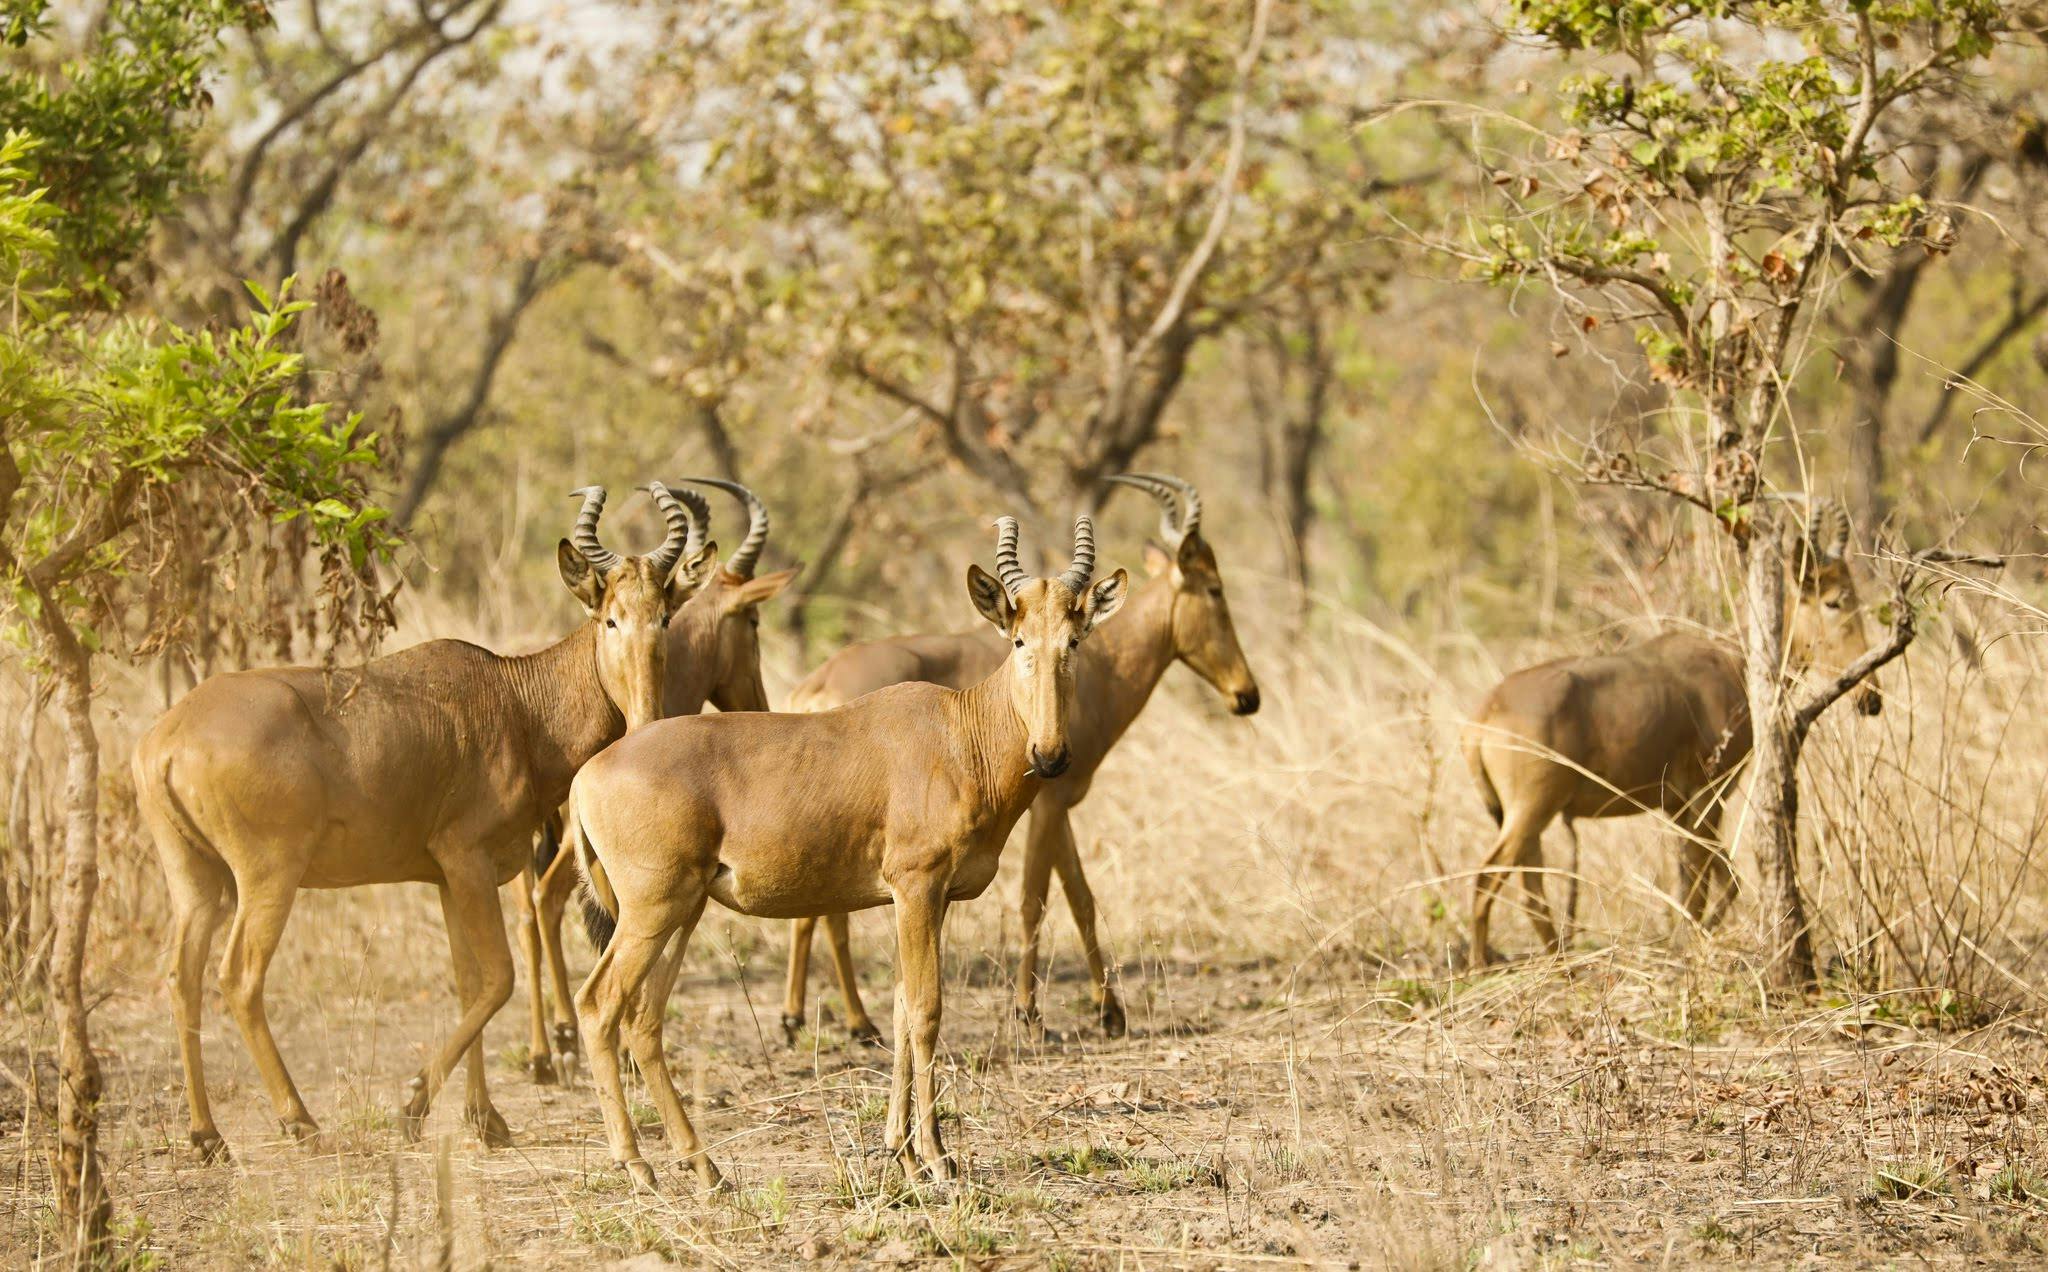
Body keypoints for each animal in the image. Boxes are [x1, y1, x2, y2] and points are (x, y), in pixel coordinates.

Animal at [134, 481, 712, 1155]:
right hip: (266, 877)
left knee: (181, 977)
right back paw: (300, 1121)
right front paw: (413, 1105)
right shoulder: (466, 862)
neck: (512, 699)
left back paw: (206, 1136)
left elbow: (469, 982)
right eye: (609, 617)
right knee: (239, 978)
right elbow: (497, 980)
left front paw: (485, 1119)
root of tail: (167, 741)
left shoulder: (445, 878)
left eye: (665, 616)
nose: (648, 721)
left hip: (196, 879)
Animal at [509, 479, 790, 1081]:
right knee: (546, 900)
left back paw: (546, 1052)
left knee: (527, 907)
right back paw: (560, 1045)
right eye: (610, 618)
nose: (761, 703)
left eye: (664, 616)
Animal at [569, 510, 1130, 1188]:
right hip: (650, 911)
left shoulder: (930, 900)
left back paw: (706, 1170)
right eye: (1019, 640)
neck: (956, 730)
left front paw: (901, 1151)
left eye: (1074, 640)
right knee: (599, 1006)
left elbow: (900, 1008)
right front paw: (937, 1158)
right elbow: (926, 1009)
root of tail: (587, 775)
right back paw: (640, 1168)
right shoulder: (916, 888)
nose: (1050, 756)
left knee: (644, 1017)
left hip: (681, 911)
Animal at [782, 473, 1261, 1040]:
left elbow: (1081, 897)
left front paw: (1111, 1011)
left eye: (1074, 637)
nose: (1247, 695)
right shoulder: (1049, 803)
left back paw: (809, 1019)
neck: (1102, 665)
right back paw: (849, 1022)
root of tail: (815, 685)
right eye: (1214, 588)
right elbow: (1036, 899)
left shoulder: (1058, 800)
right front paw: (1029, 1013)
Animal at [1466, 495, 1875, 962]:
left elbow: (1713, 883)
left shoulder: (1679, 805)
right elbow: (1703, 884)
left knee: (1530, 889)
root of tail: (1485, 714)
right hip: (1530, 809)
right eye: (1834, 601)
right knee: (1486, 881)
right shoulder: (1706, 794)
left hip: (1530, 816)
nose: (1871, 699)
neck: (1731, 661)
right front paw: (1693, 945)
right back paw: (1481, 968)